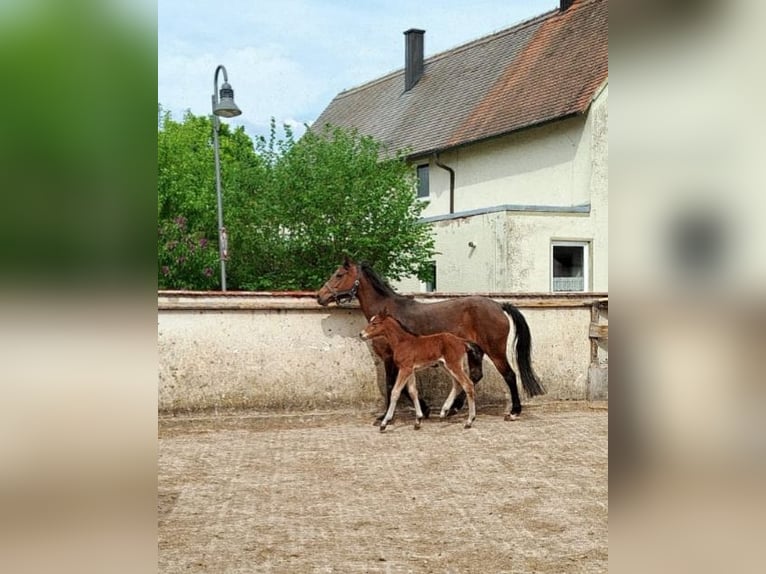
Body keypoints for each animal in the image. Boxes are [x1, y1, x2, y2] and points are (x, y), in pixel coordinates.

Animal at [317, 256, 545, 422]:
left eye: (339, 274)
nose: (319, 296)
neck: (387, 315)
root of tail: (499, 305)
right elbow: (405, 388)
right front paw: (424, 410)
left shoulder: (391, 358)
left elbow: (393, 387)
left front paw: (387, 416)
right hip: (475, 351)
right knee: (475, 376)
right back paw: (453, 409)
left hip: (494, 350)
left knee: (509, 375)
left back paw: (514, 411)